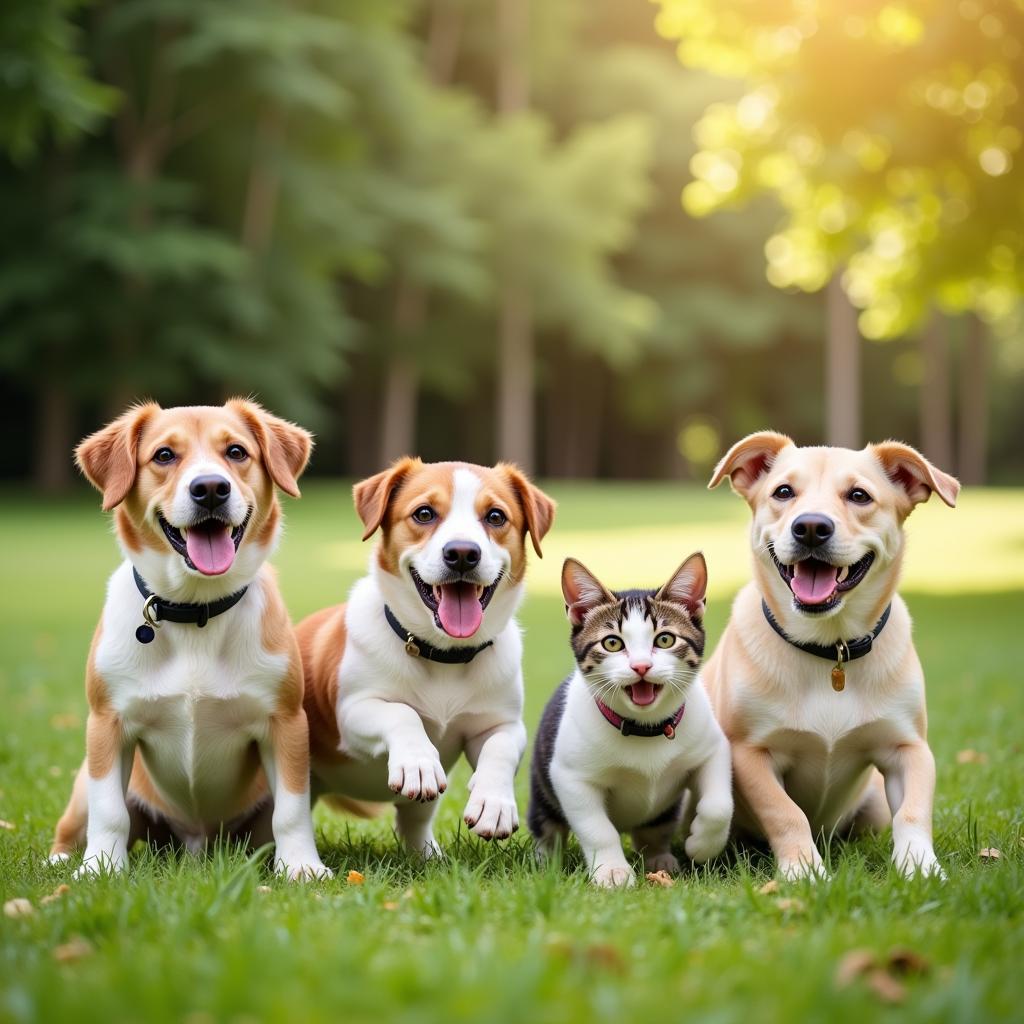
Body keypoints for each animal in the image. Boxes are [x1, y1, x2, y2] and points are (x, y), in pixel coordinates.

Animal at [48, 399, 327, 880]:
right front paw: (101, 868)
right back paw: (61, 859)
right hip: (84, 779)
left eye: (236, 451)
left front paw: (301, 867)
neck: (196, 610)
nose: (210, 488)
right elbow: (110, 812)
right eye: (164, 455)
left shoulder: (286, 723)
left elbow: (292, 811)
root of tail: (196, 845)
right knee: (76, 822)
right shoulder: (106, 725)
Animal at [299, 460, 552, 851]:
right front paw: (418, 762)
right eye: (424, 513)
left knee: (414, 822)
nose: (462, 553)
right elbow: (401, 713)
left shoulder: (501, 723)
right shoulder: (352, 713)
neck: (443, 656)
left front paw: (494, 804)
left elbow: (500, 748)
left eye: (495, 516)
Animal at [528, 557, 729, 884]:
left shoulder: (712, 748)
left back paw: (659, 857)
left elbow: (719, 806)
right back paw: (546, 861)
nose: (641, 666)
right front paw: (612, 871)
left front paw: (701, 845)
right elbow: (597, 829)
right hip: (541, 787)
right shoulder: (570, 777)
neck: (645, 728)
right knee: (547, 826)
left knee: (653, 828)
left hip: (662, 814)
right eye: (612, 643)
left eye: (665, 639)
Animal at [700, 432, 954, 880]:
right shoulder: (750, 753)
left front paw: (921, 868)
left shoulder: (908, 747)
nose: (811, 528)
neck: (828, 647)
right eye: (783, 492)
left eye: (859, 495)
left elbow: (913, 812)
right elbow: (786, 813)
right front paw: (804, 871)